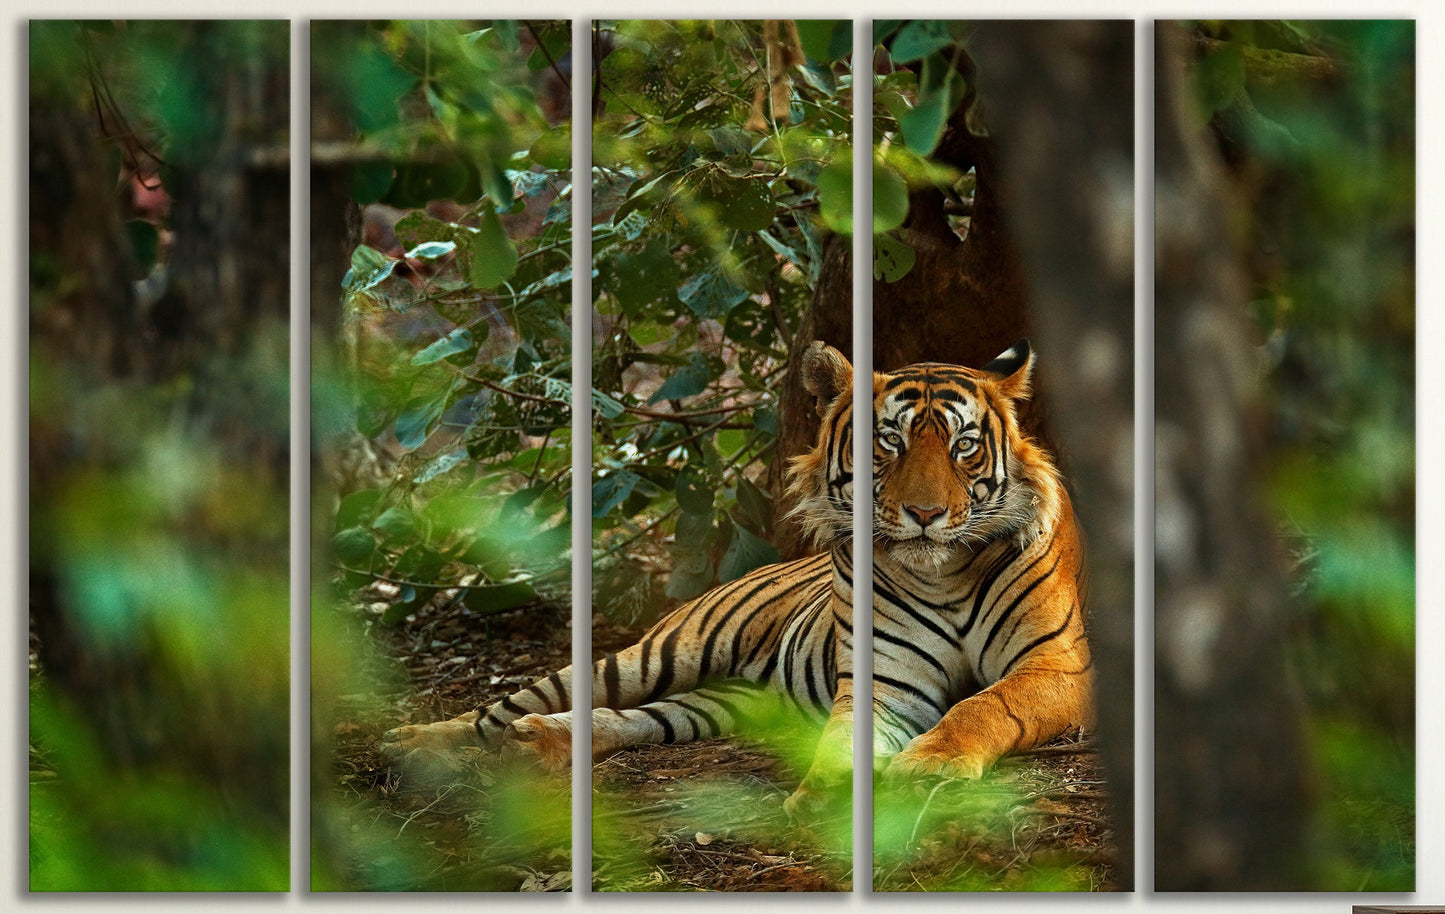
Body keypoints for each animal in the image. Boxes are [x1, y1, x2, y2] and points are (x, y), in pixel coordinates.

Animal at [378, 340, 1093, 814]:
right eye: (887, 442)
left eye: (962, 445)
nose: (924, 514)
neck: (945, 575)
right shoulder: (885, 682)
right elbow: (845, 737)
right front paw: (825, 793)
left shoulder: (1057, 666)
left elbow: (985, 704)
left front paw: (931, 765)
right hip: (658, 654)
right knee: (507, 706)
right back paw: (416, 742)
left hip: (719, 701)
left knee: (631, 720)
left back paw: (537, 744)